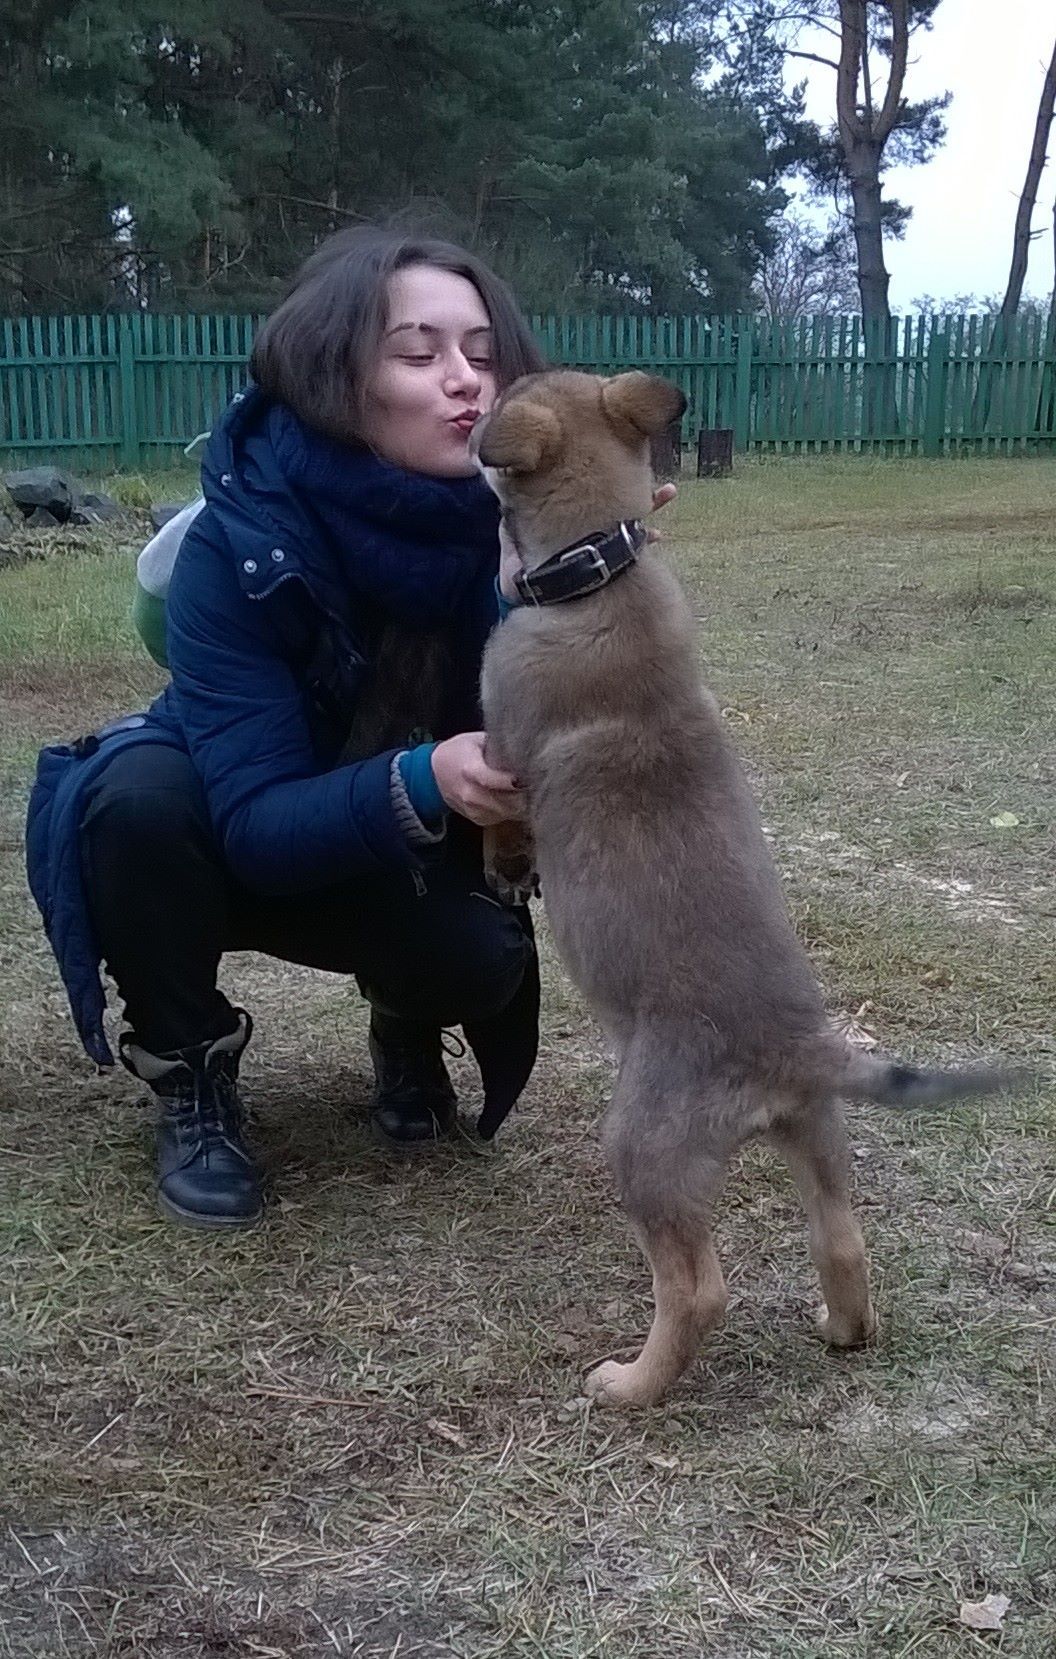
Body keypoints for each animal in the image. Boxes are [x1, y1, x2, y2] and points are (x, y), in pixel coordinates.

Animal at [470, 369, 1014, 1406]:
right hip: (820, 1137)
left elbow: (496, 811)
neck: (601, 574)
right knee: (842, 1242)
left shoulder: (501, 750)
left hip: (644, 1148)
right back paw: (843, 1330)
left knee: (696, 1288)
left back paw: (630, 1384)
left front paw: (503, 865)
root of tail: (797, 1055)